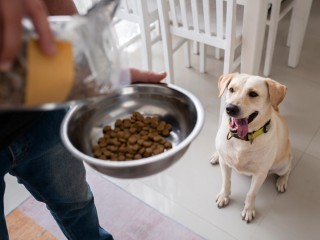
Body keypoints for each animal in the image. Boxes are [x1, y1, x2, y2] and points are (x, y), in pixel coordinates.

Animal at [211, 73, 292, 223]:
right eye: (231, 89)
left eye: (253, 94)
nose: (230, 108)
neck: (242, 139)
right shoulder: (225, 163)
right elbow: (226, 182)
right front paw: (224, 196)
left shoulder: (260, 174)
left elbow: (251, 194)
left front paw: (248, 210)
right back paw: (215, 155)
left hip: (282, 164)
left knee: (287, 170)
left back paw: (282, 181)